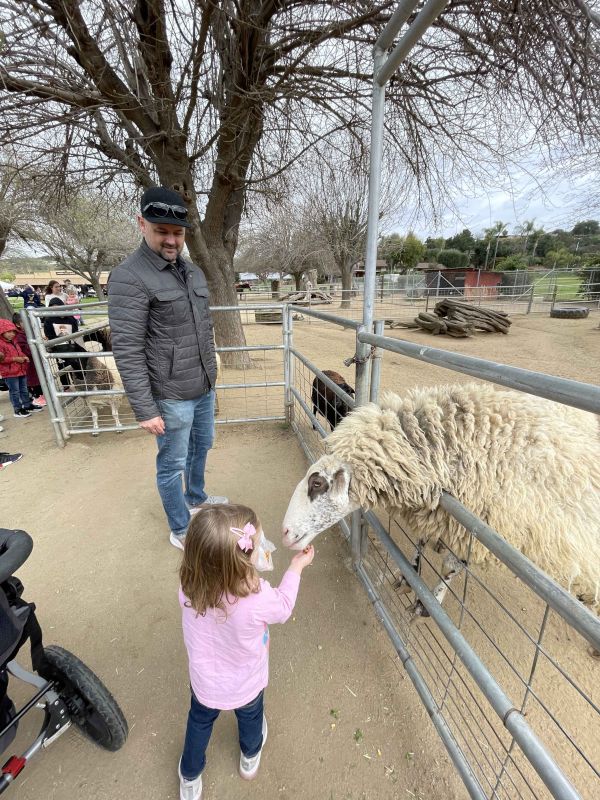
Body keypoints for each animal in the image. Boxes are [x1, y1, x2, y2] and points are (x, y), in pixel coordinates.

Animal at [284, 382, 600, 632]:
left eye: (317, 483)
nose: (285, 532)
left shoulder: (477, 530)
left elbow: (451, 567)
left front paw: (428, 603)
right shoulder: (438, 511)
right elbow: (421, 541)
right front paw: (409, 575)